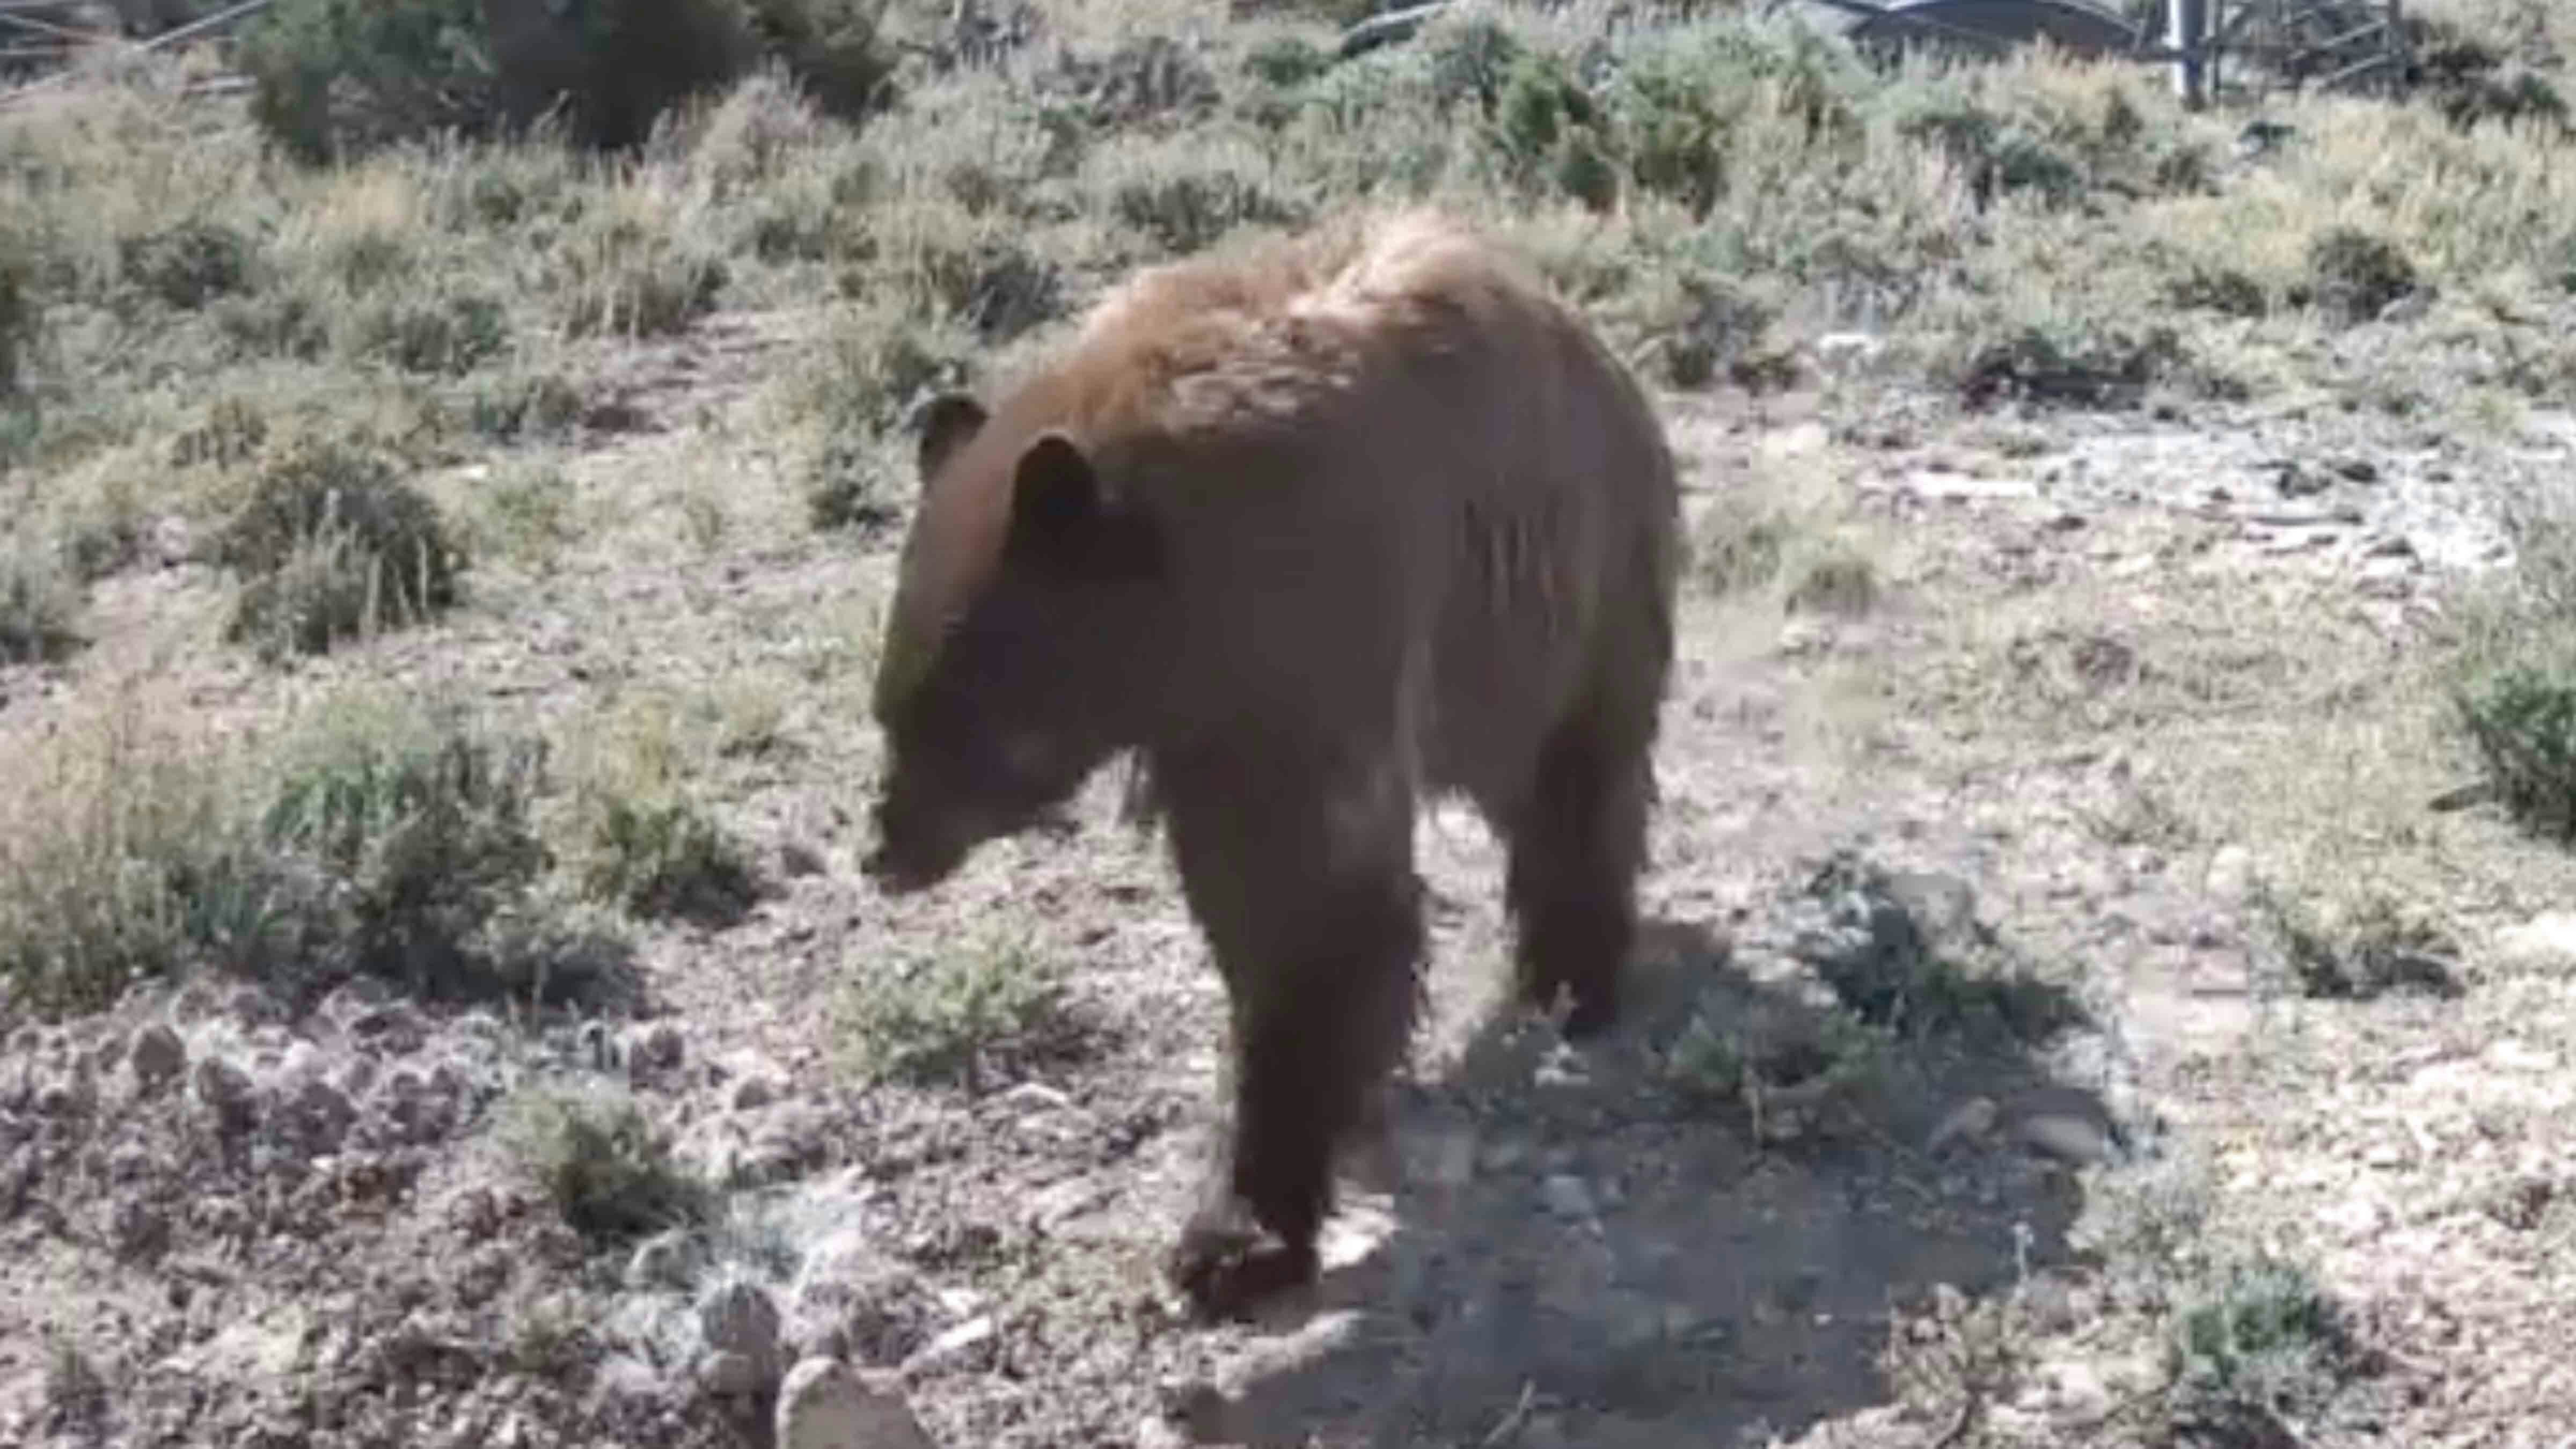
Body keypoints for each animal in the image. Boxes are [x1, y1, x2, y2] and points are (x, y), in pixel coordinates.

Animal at [861, 207, 1680, 1318]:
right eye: (889, 707)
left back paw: (1574, 977)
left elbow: (1316, 916)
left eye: (953, 717)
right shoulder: (1204, 730)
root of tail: (1598, 346)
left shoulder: (1304, 654)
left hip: (1571, 591)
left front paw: (1237, 1234)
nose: (884, 848)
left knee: (1579, 780)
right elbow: (1248, 908)